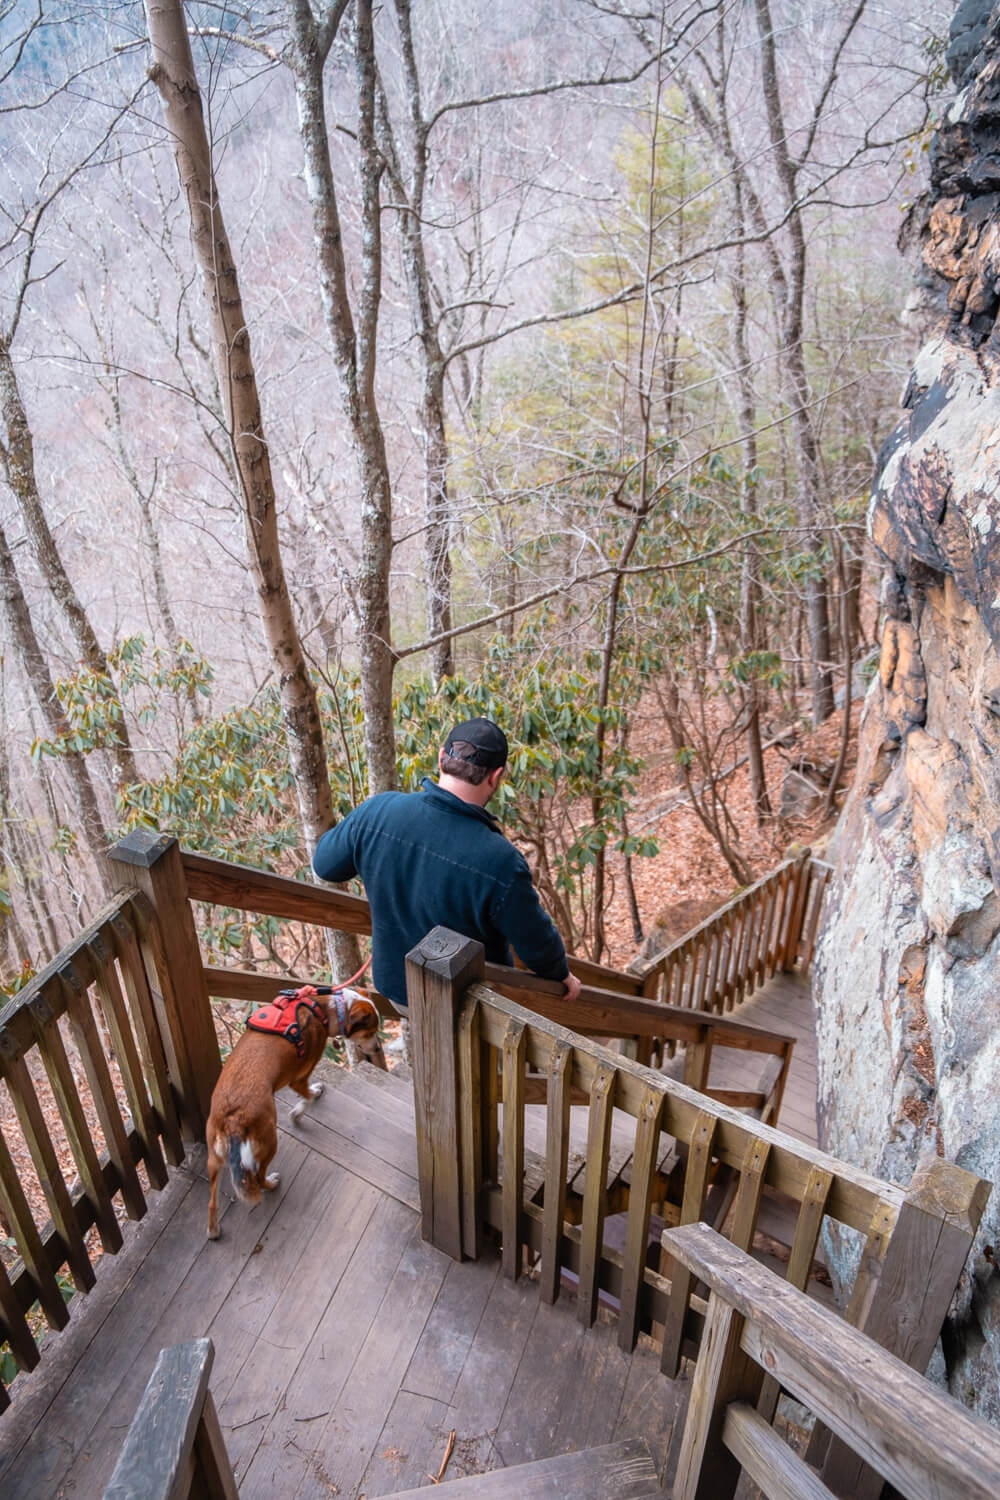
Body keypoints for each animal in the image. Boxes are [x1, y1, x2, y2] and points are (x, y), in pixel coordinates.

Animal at [208, 978, 386, 1236]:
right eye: (370, 1032)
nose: (379, 1050)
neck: (328, 1008)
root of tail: (233, 1117)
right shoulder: (299, 1077)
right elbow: (308, 1097)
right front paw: (299, 1111)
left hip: (214, 1156)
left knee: (212, 1200)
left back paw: (213, 1231)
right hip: (269, 1141)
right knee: (258, 1177)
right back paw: (272, 1183)